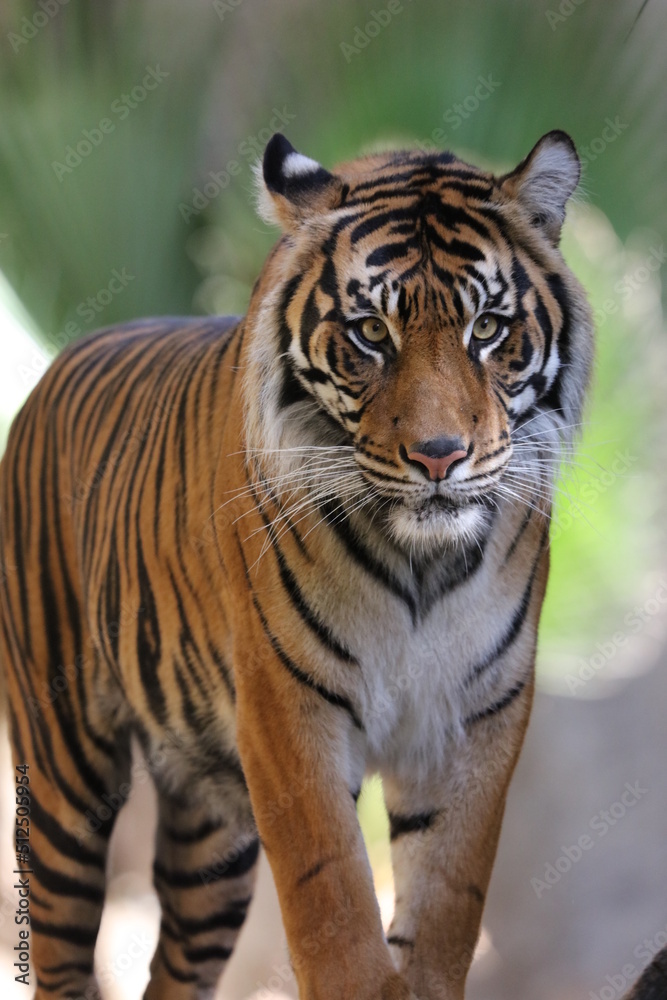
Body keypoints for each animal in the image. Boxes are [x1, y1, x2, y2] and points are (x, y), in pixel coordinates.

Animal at [0, 131, 600, 1000]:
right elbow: (334, 908)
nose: (438, 456)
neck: (422, 565)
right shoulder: (289, 712)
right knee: (60, 954)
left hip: (212, 841)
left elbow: (448, 902)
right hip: (63, 777)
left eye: (487, 327)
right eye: (371, 333)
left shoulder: (477, 716)